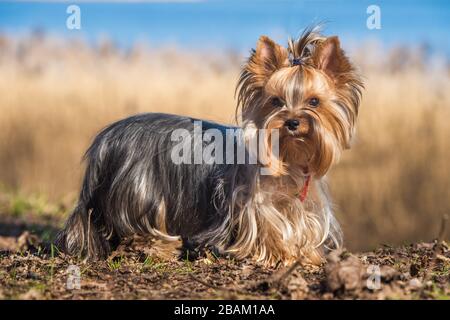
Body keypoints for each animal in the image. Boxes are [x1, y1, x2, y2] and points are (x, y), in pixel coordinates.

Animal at [55, 28, 362, 264]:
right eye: (275, 101)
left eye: (314, 102)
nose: (293, 122)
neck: (290, 160)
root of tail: (105, 140)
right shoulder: (254, 203)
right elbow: (269, 227)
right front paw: (280, 255)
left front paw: (307, 255)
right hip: (140, 193)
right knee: (137, 230)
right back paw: (161, 248)